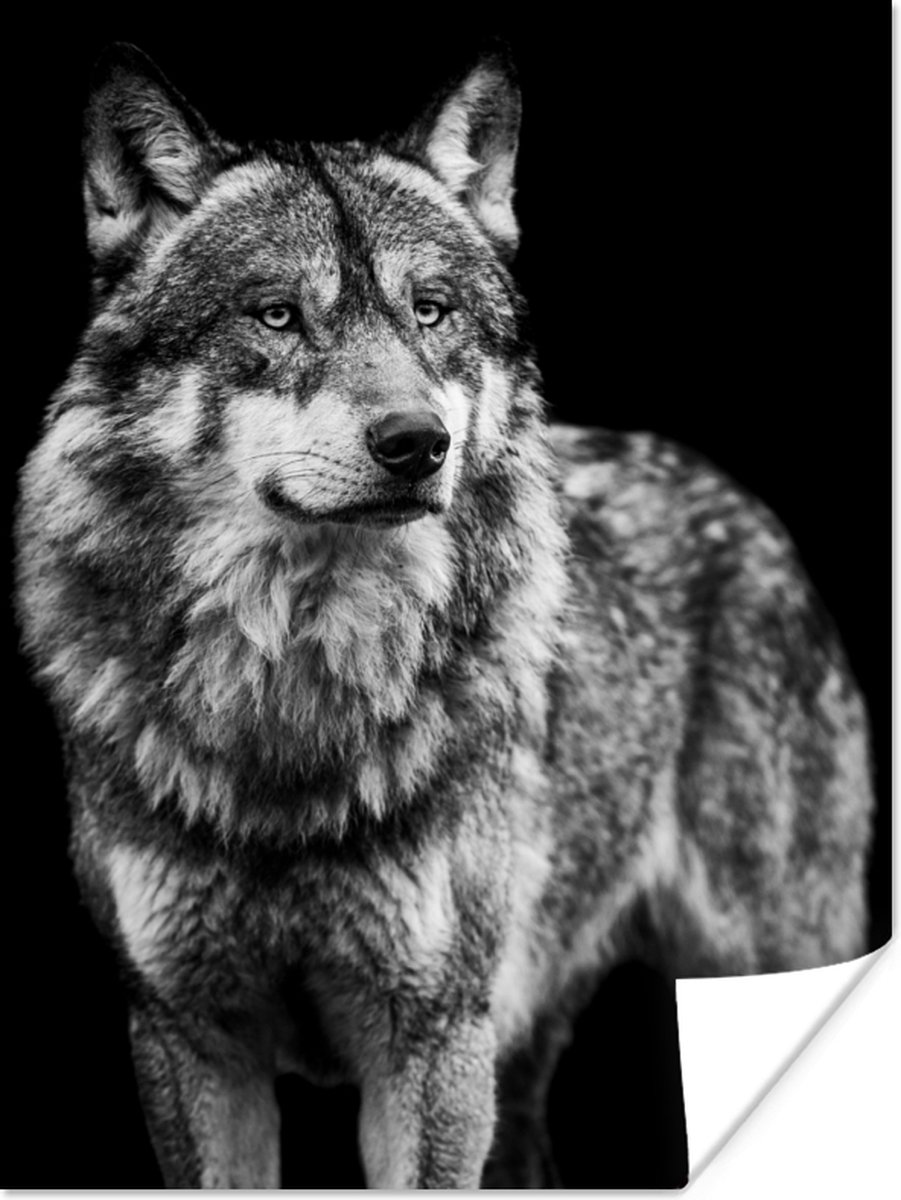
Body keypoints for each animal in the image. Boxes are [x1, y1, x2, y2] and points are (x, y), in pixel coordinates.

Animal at [15, 43, 873, 1189]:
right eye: (276, 315)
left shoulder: (430, 1043)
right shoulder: (185, 1039)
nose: (417, 443)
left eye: (429, 311)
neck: (296, 697)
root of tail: (743, 506)